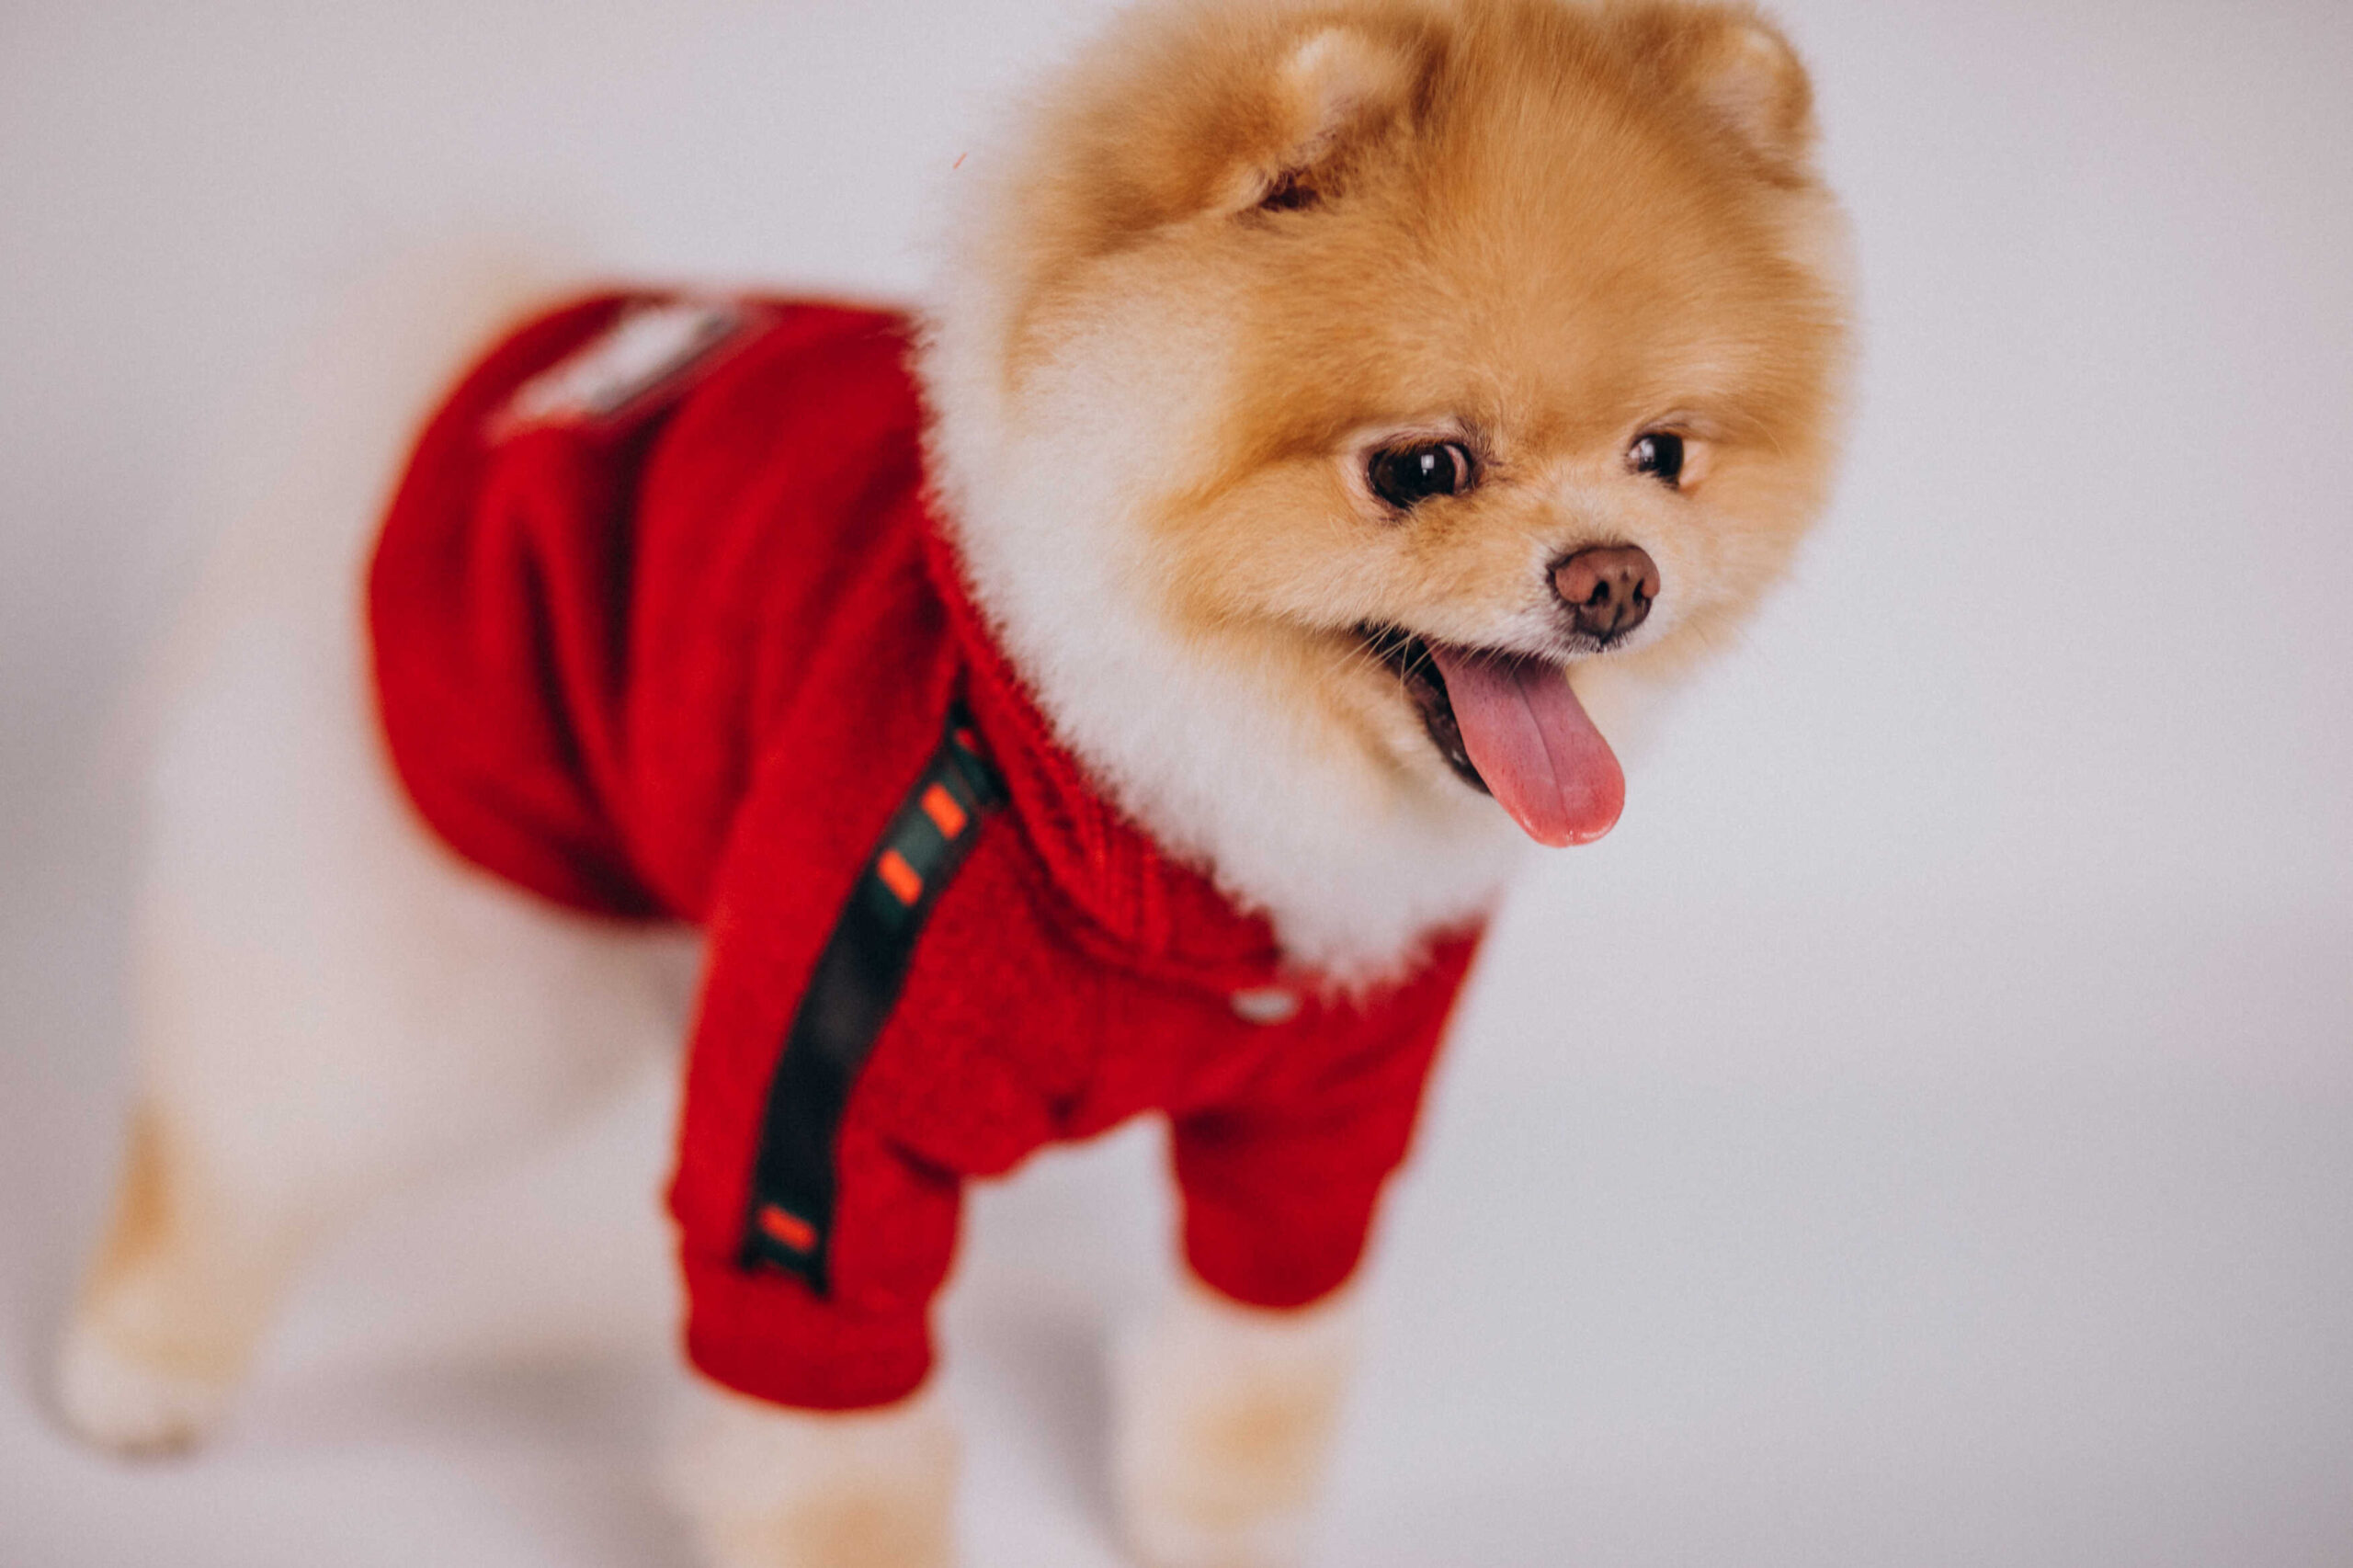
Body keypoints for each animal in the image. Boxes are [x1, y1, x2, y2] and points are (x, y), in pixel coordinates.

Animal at [55, 3, 1845, 1562]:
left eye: (1666, 455)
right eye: (1419, 467)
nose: (1615, 580)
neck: (1146, 796)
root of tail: (492, 353)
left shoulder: (1322, 1110)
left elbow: (1255, 1346)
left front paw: (1217, 1523)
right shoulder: (828, 1090)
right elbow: (831, 1430)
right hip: (452, 929)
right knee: (244, 1102)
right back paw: (130, 1367)